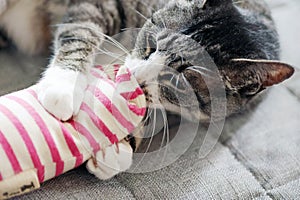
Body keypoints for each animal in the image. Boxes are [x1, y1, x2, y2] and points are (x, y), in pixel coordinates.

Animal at [0, 0, 294, 179]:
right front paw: (63, 85)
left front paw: (117, 150)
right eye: (152, 44)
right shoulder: (101, 5)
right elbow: (83, 29)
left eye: (178, 81)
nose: (134, 75)